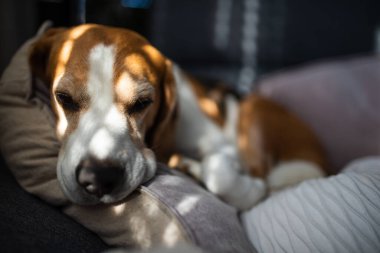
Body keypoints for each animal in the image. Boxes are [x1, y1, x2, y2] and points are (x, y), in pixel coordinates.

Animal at [29, 23, 326, 211]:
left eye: (143, 102)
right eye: (64, 98)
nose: (100, 178)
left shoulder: (224, 144)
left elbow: (223, 174)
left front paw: (250, 190)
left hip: (254, 109)